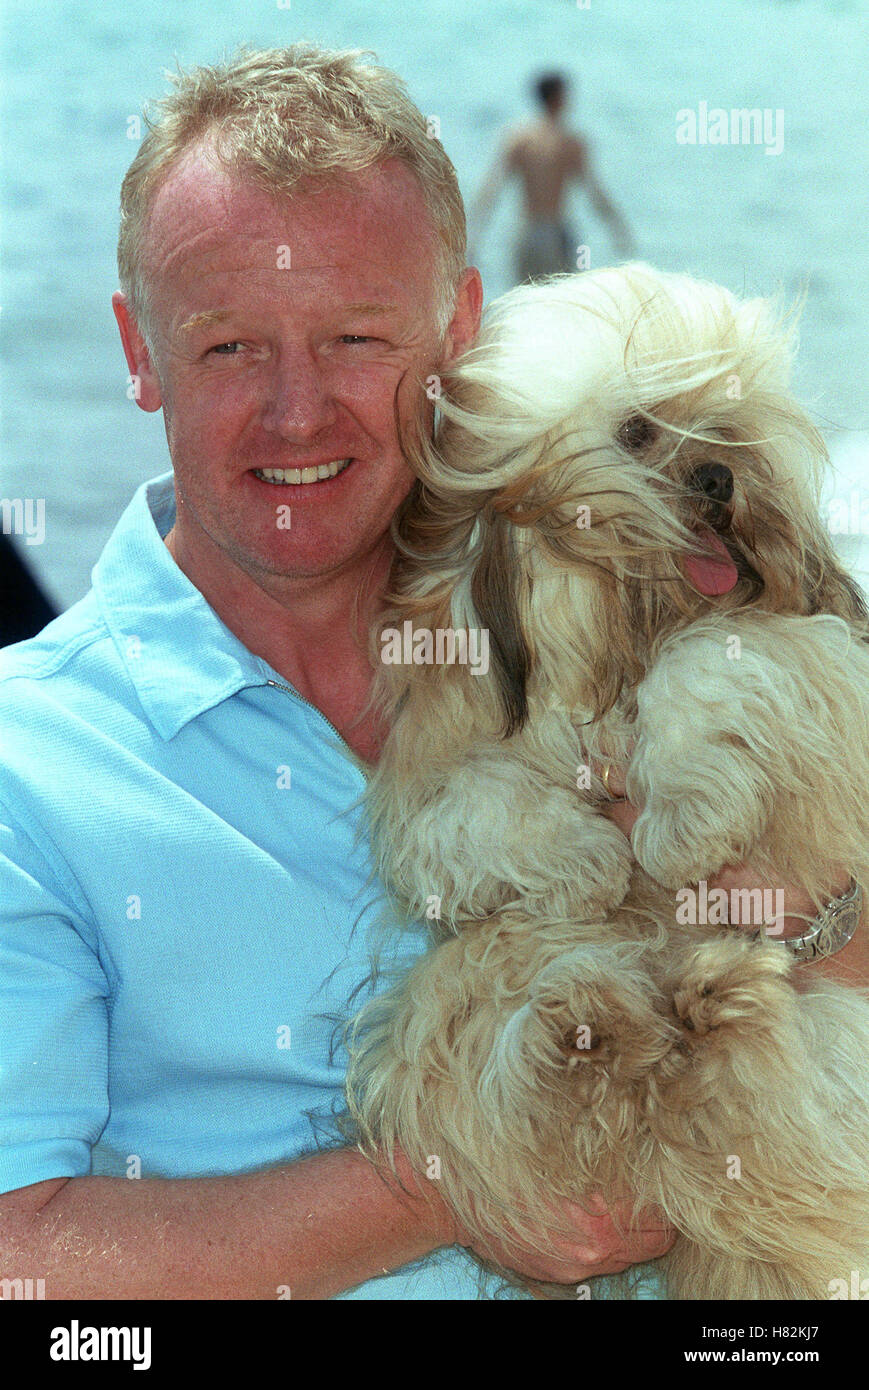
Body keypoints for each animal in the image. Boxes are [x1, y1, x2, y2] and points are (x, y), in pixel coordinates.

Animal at [343, 265, 867, 1295]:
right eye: (637, 433)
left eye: (729, 432)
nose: (717, 479)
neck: (618, 645)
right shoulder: (440, 765)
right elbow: (475, 805)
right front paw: (589, 856)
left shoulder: (815, 659)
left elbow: (708, 663)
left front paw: (681, 822)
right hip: (468, 991)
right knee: (536, 1067)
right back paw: (595, 1032)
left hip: (833, 1023)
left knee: (787, 1086)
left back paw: (718, 1008)